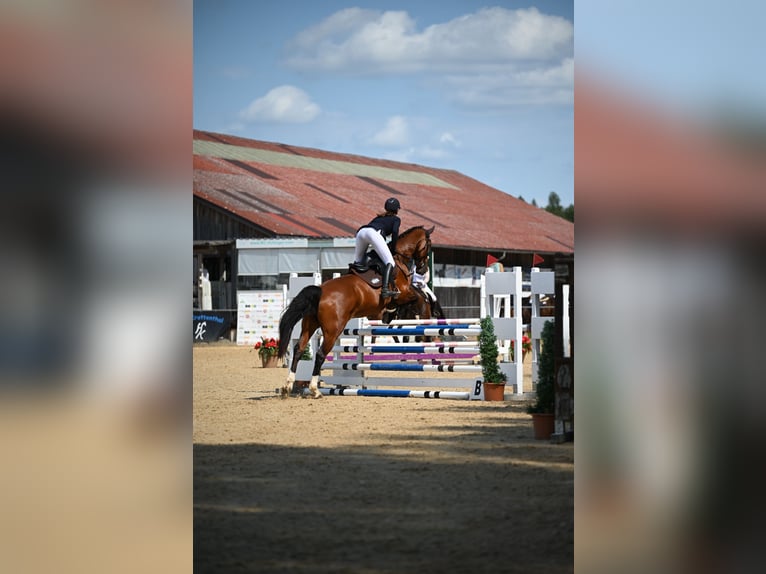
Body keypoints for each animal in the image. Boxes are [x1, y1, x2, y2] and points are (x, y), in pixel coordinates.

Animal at [277, 226, 434, 398]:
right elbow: (414, 297)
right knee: (320, 354)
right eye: (428, 245)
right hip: (333, 331)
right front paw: (391, 313)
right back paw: (314, 389)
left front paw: (390, 313)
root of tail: (320, 291)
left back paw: (288, 386)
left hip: (309, 325)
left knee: (299, 349)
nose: (423, 269)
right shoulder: (404, 293)